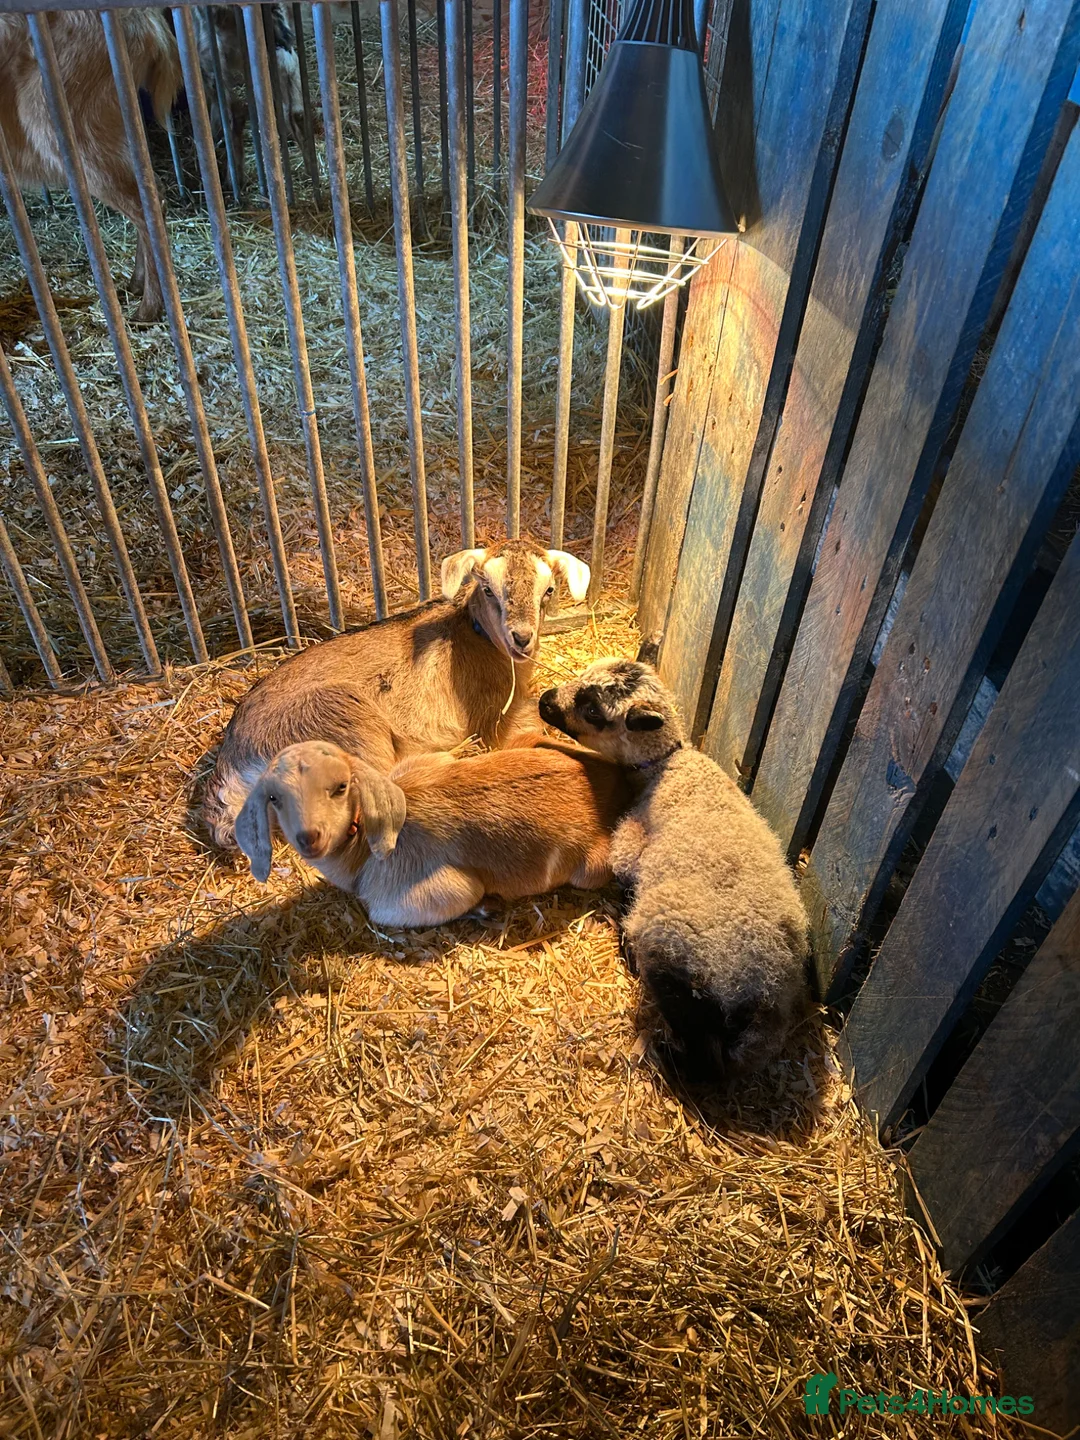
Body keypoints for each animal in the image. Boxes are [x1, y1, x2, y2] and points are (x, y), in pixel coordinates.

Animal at [204, 537, 591, 850]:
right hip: (345, 720)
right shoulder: (494, 722)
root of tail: (232, 764)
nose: (522, 638)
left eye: (549, 591)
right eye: (488, 590)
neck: (475, 636)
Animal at [235, 737, 632, 927]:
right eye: (274, 797)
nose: (309, 837)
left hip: (591, 867)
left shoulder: (426, 893)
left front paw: (485, 908)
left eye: (341, 786)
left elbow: (463, 895)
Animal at [540, 655, 810, 1078]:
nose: (544, 700)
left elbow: (623, 873)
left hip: (676, 956)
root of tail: (764, 994)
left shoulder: (629, 846)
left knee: (707, 1059)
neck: (667, 764)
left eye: (593, 710)